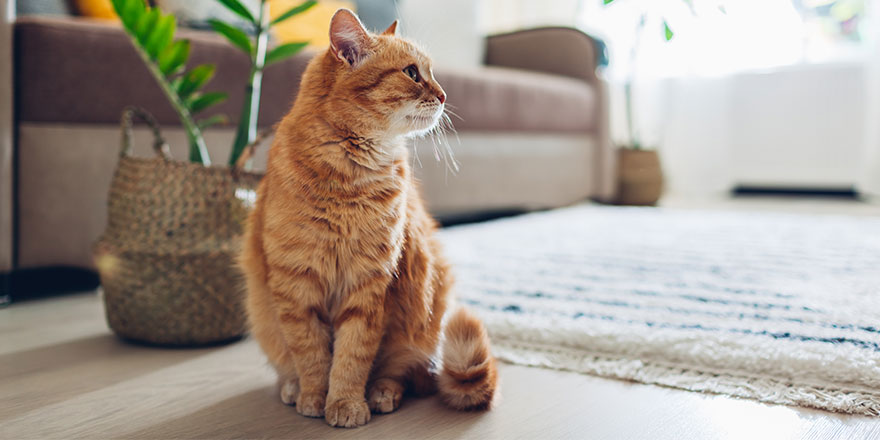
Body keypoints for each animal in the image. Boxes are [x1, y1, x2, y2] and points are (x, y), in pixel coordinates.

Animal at [237, 8, 498, 428]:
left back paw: (381, 393)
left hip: (424, 313)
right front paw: (314, 397)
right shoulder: (296, 287)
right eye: (411, 73)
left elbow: (351, 356)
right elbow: (311, 355)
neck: (348, 179)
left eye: (429, 72)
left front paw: (345, 402)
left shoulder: (370, 285)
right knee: (288, 363)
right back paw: (292, 388)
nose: (444, 95)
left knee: (402, 372)